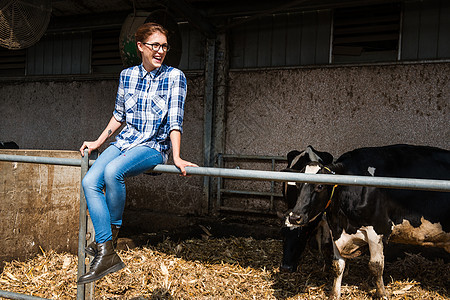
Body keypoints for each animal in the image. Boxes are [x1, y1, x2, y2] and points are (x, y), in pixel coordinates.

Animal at [286, 144, 448, 298]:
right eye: (297, 184)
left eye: (320, 186)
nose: (294, 217)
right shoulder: (335, 228)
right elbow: (338, 265)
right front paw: (334, 294)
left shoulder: (376, 229)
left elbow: (376, 266)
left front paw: (382, 294)